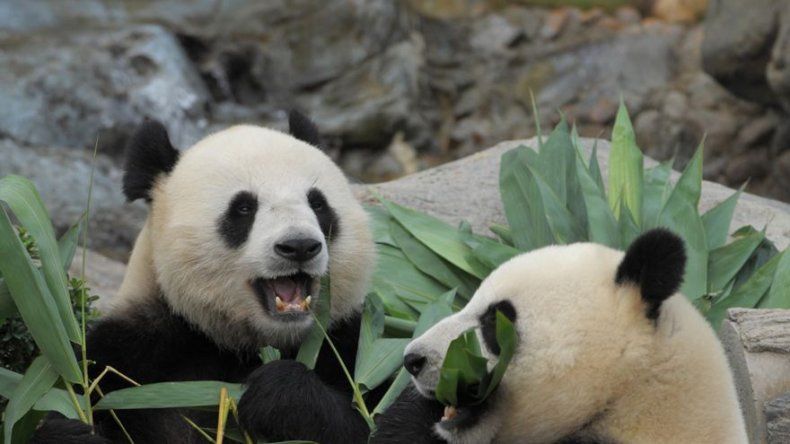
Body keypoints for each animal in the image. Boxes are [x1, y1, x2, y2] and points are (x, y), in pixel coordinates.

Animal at [31, 112, 378, 444]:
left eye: (318, 203)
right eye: (243, 208)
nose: (299, 246)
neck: (239, 345)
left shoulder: (347, 343)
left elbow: (369, 421)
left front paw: (282, 395)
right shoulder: (126, 357)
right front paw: (72, 433)